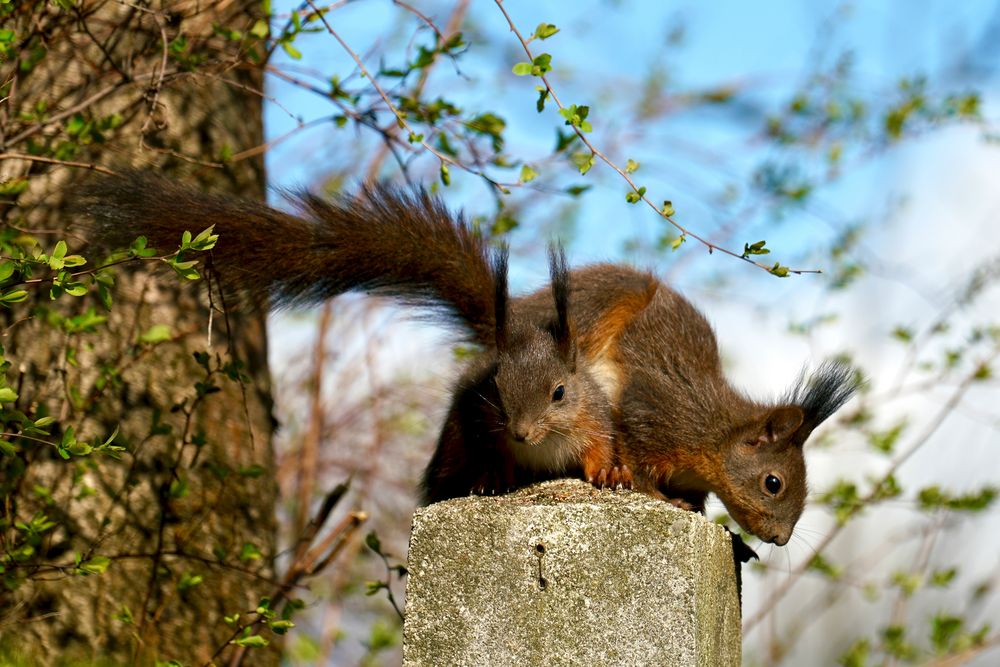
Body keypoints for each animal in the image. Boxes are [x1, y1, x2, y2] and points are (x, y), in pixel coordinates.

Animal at [84, 172, 624, 506]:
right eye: (496, 387)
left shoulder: (594, 420)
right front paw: (491, 481)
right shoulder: (480, 423)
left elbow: (601, 447)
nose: (520, 433)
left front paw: (610, 474)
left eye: (560, 392)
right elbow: (491, 457)